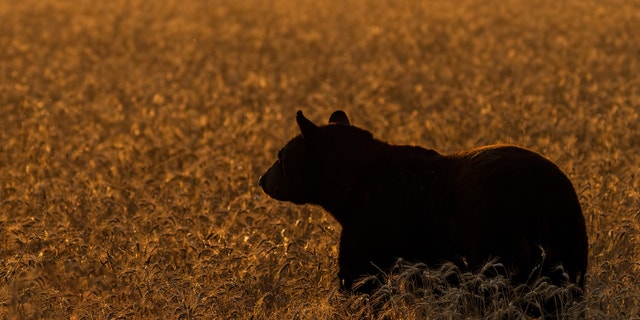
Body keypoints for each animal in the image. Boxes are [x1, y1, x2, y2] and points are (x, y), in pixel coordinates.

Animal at [258, 110, 588, 298]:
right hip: (567, 232)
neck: (348, 186)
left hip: (494, 230)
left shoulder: (371, 219)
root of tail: (538, 195)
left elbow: (360, 278)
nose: (262, 179)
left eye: (280, 156)